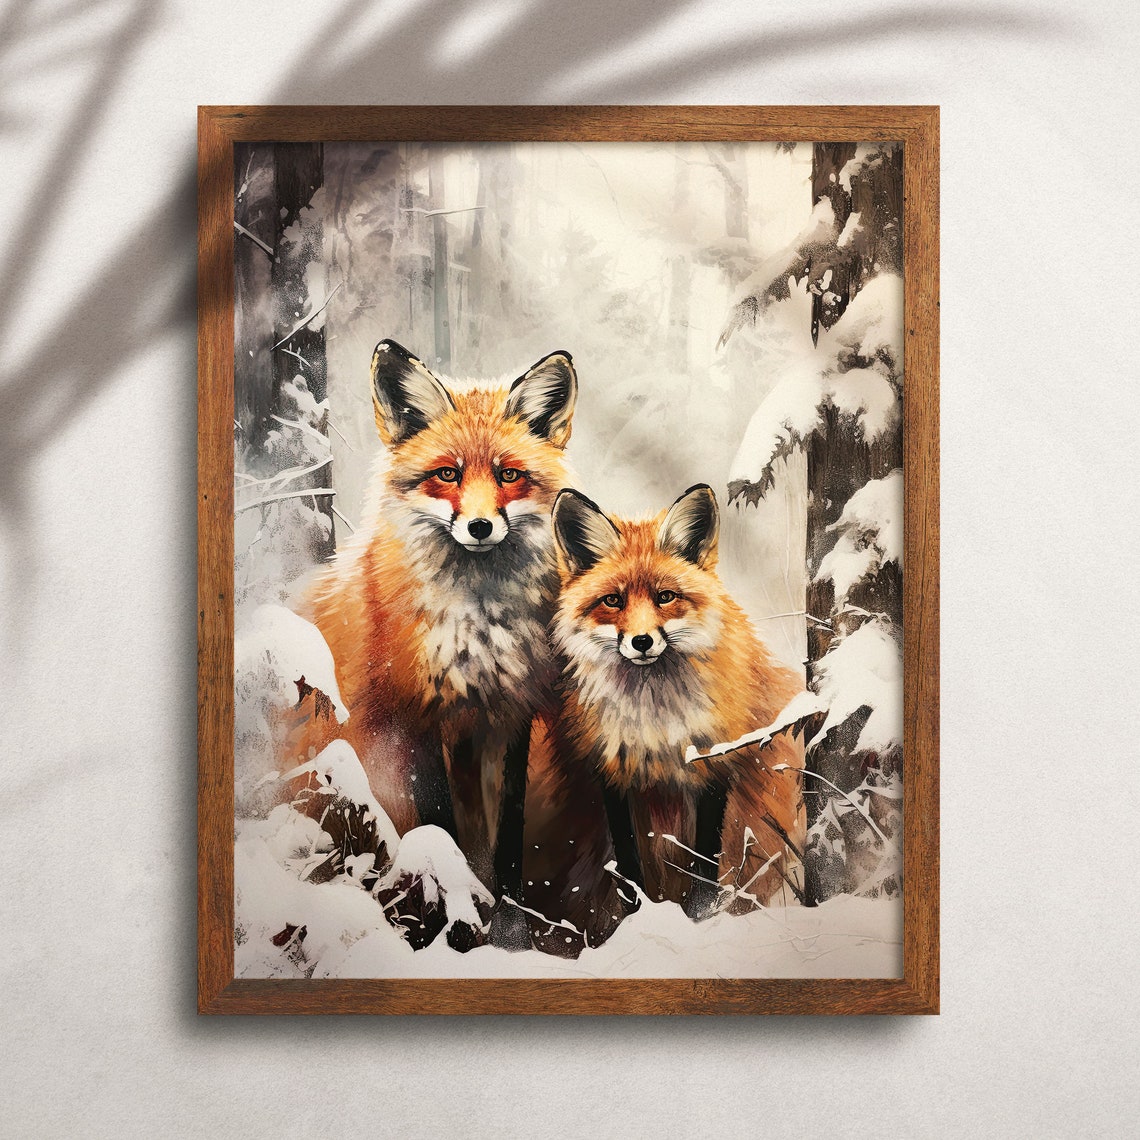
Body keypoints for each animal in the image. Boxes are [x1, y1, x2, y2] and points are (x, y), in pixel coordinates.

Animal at [301, 339, 578, 911]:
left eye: (508, 475)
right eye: (448, 474)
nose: (480, 526)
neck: (479, 626)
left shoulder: (510, 716)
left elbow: (509, 835)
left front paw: (510, 919)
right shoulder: (415, 715)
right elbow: (439, 827)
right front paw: (455, 899)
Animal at [544, 483, 808, 919]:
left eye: (665, 596)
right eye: (613, 601)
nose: (642, 641)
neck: (657, 728)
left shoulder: (715, 767)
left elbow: (704, 862)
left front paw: (699, 916)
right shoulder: (613, 777)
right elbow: (628, 868)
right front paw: (635, 920)